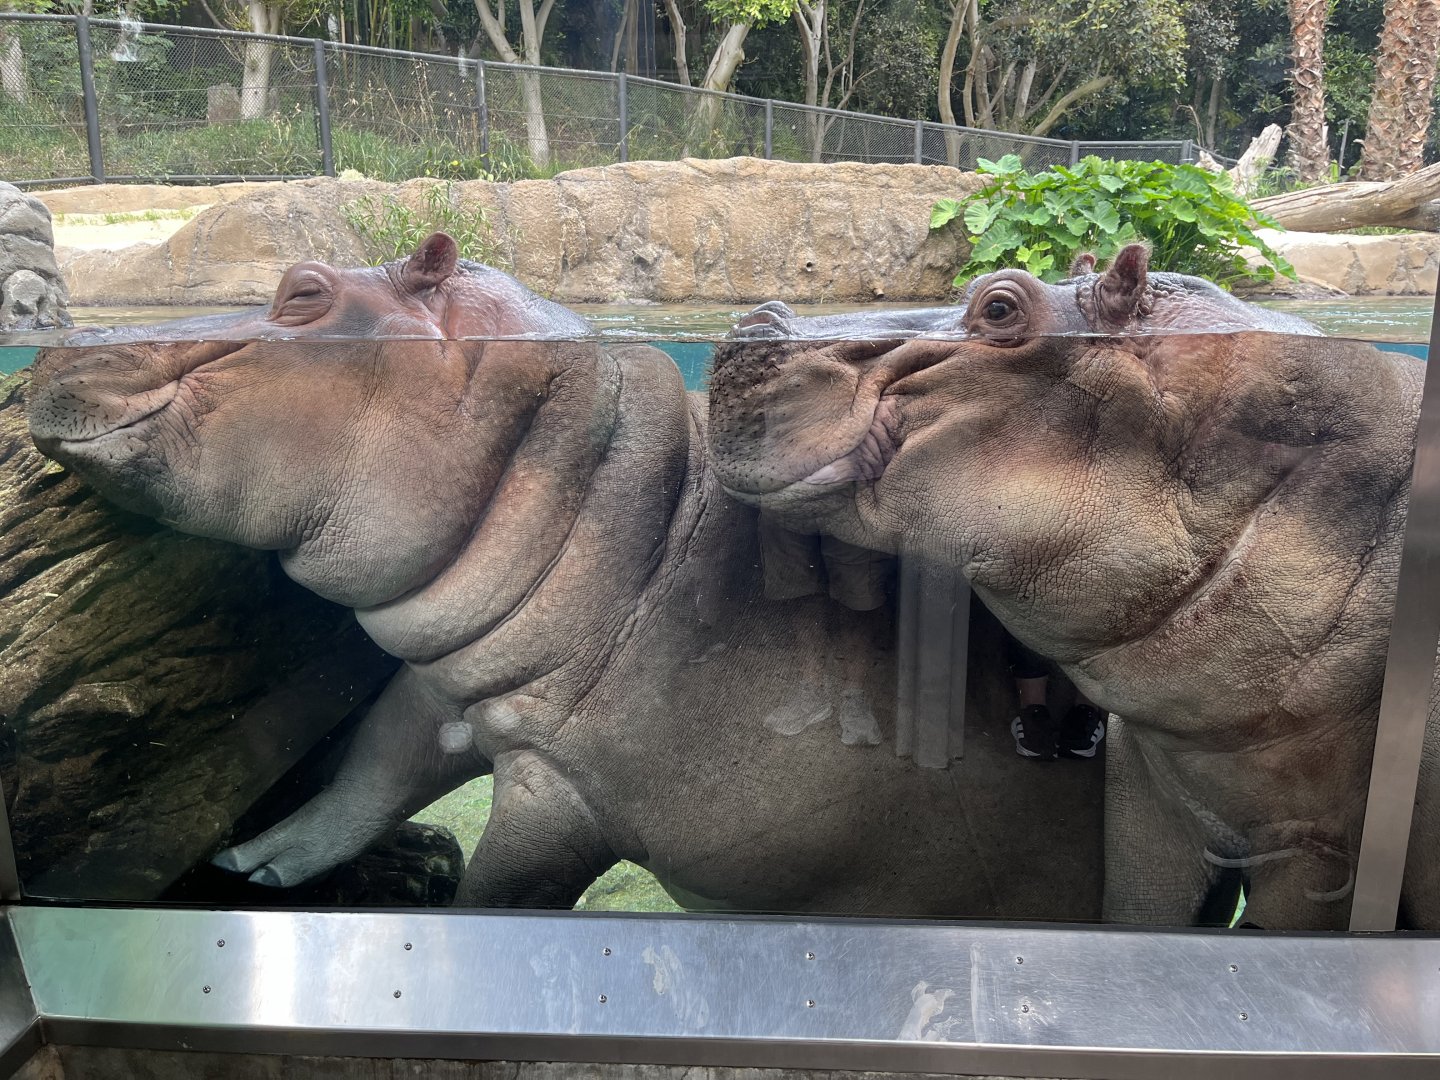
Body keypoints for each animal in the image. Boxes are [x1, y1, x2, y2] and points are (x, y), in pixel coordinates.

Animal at [26, 233, 1098, 918]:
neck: (631, 508)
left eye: (303, 291)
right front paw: (249, 864)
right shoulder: (455, 691)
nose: (56, 347)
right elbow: (365, 775)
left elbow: (496, 894)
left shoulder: (563, 795)